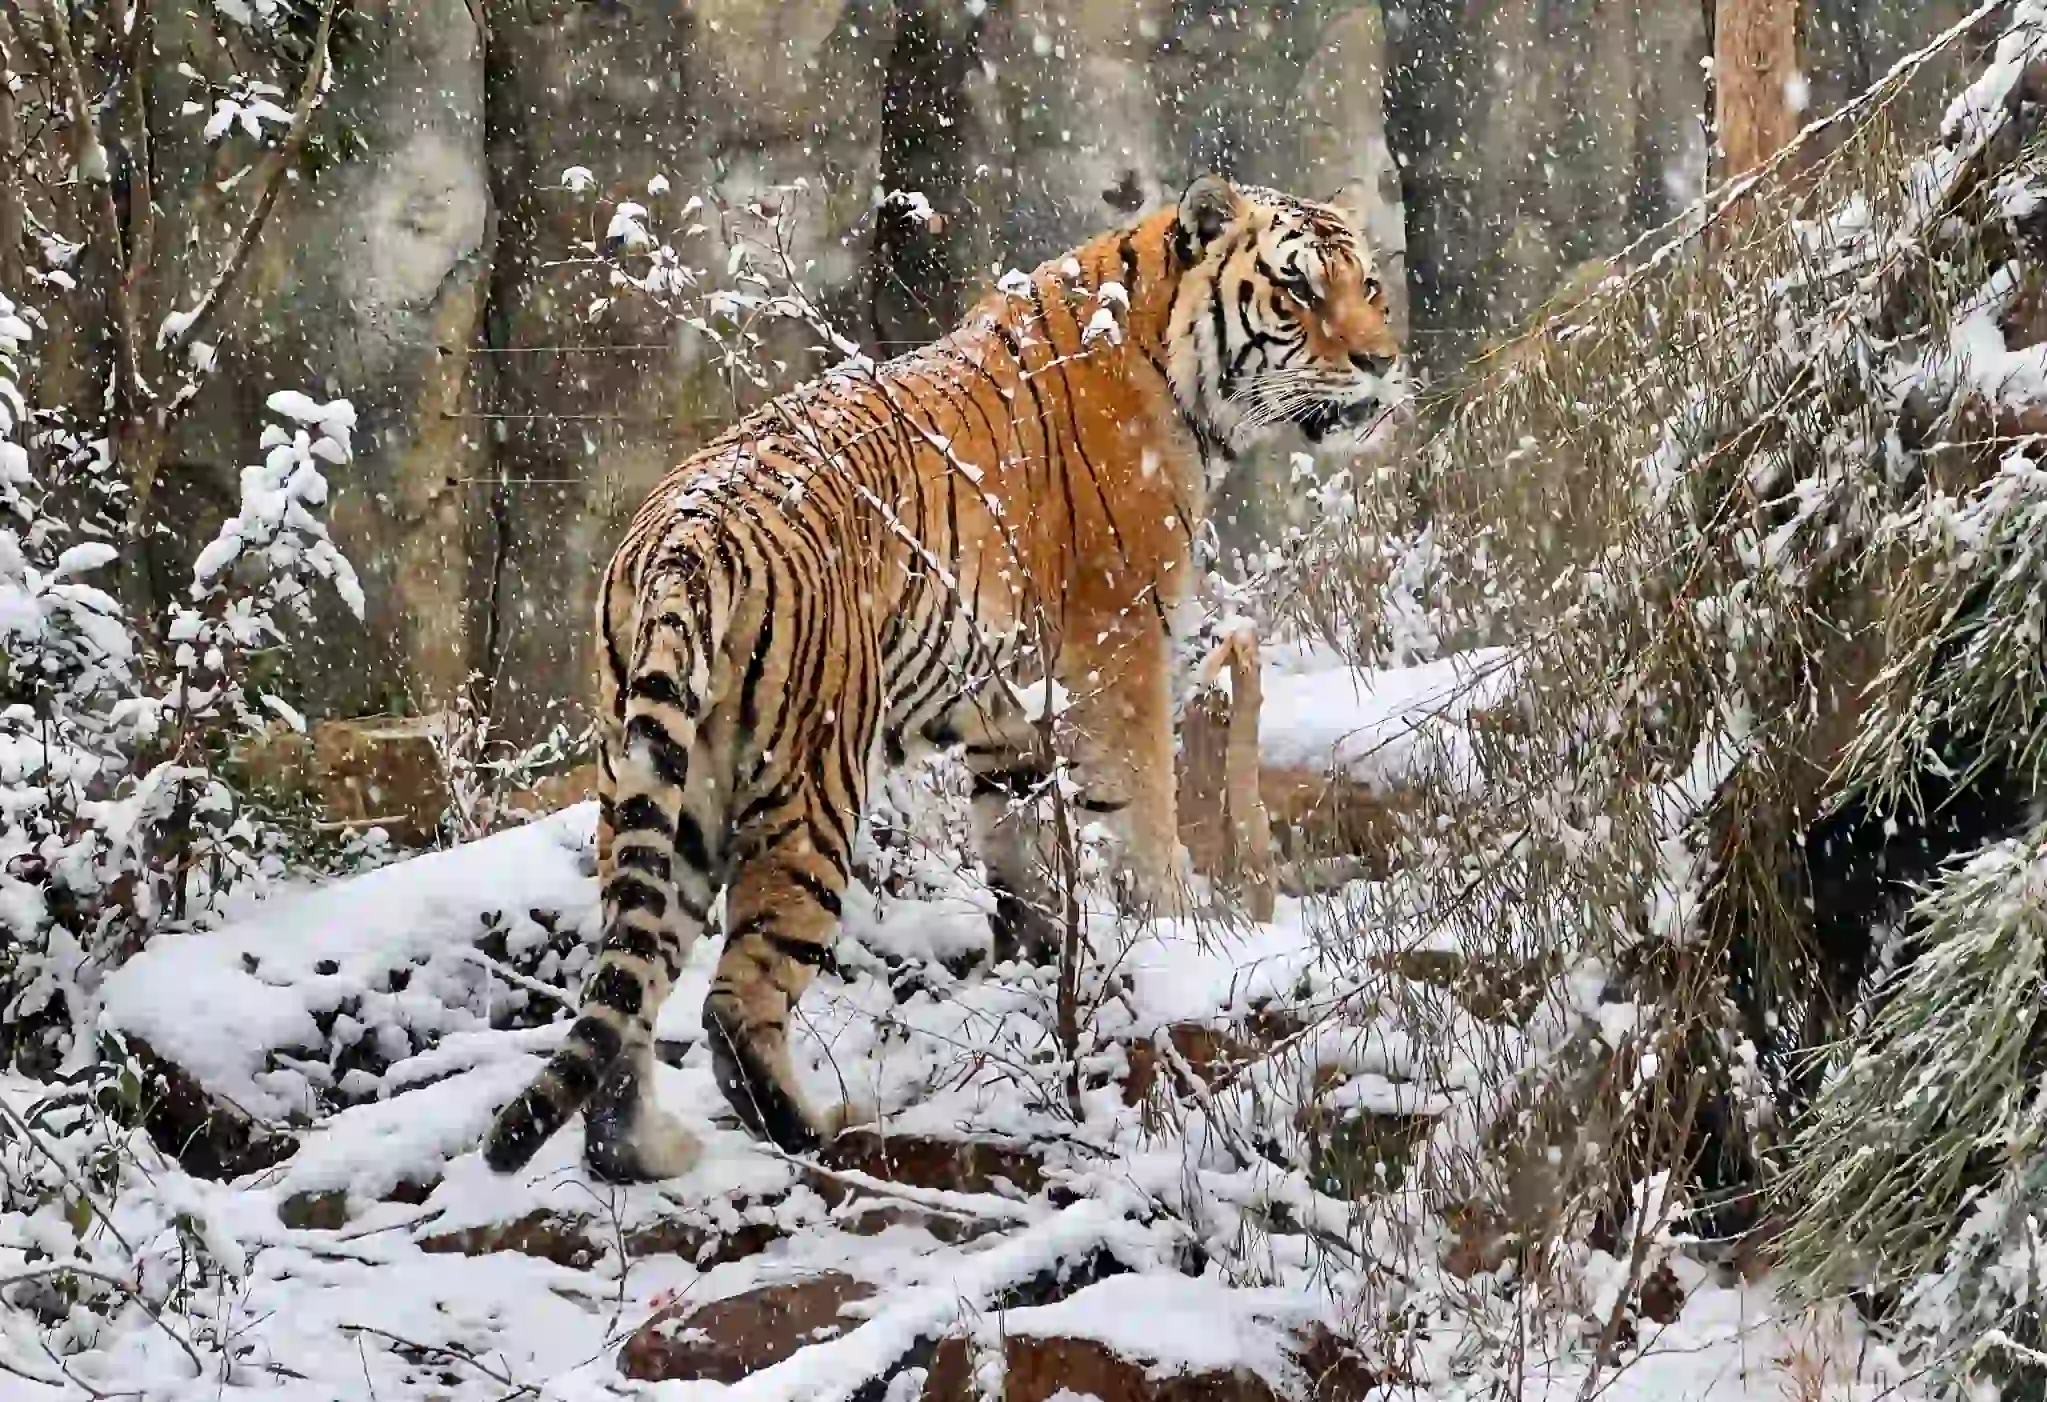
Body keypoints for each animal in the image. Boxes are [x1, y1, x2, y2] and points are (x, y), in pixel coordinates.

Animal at [483, 174, 1403, 1181]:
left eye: (1367, 285)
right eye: (1296, 289)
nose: (1381, 362)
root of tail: (683, 537)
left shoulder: (1005, 701)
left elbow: (1018, 838)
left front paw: (1042, 957)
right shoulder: (1119, 646)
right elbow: (1143, 810)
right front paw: (1183, 934)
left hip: (661, 784)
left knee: (631, 977)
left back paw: (638, 1153)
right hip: (811, 787)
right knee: (735, 1001)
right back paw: (826, 1133)